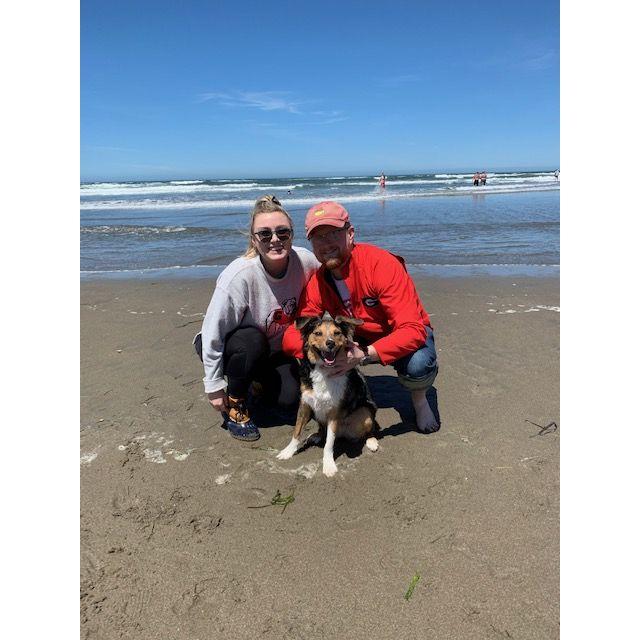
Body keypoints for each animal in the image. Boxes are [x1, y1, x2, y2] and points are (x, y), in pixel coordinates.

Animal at [276, 310, 380, 476]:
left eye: (337, 333)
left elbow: (329, 444)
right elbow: (297, 431)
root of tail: (344, 433)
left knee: (369, 430)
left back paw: (371, 441)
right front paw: (288, 451)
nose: (330, 343)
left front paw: (329, 465)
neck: (324, 371)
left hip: (366, 411)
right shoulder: (305, 405)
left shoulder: (334, 412)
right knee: (322, 430)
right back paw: (317, 436)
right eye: (318, 333)